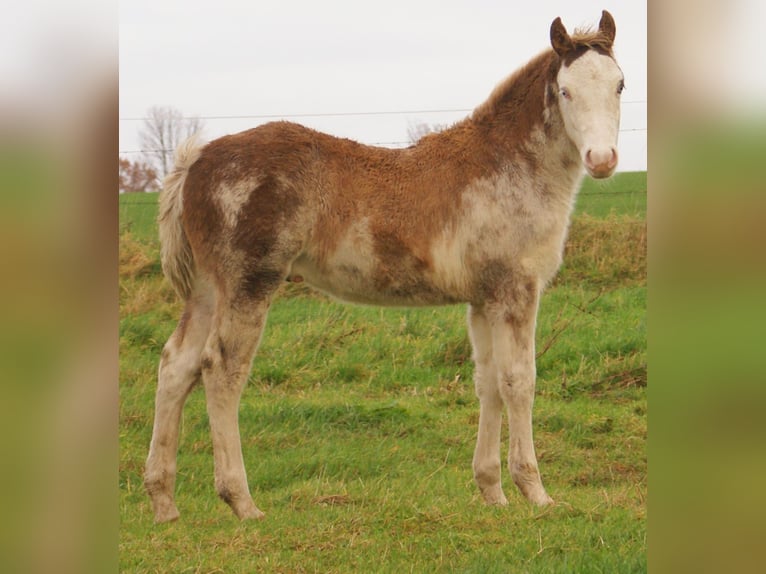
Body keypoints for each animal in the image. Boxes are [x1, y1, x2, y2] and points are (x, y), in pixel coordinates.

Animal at [144, 10, 624, 522]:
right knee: (221, 368)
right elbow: (519, 381)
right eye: (565, 91)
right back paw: (242, 501)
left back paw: (164, 503)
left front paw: (492, 492)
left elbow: (488, 382)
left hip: (208, 290)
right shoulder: (516, 290)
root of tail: (195, 160)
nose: (602, 159)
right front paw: (536, 493)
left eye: (620, 84)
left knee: (177, 365)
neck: (510, 166)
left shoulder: (483, 300)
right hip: (249, 283)